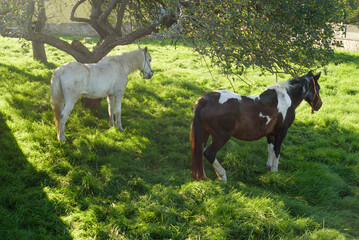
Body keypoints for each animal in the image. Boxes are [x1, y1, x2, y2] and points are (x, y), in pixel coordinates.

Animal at [191, 71, 324, 180]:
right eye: (317, 87)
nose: (319, 105)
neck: (286, 98)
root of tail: (204, 101)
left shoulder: (270, 133)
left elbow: (270, 150)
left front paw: (270, 170)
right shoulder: (282, 131)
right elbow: (277, 151)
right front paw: (275, 173)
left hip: (204, 133)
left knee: (200, 151)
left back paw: (203, 176)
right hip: (221, 137)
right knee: (209, 153)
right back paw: (222, 175)